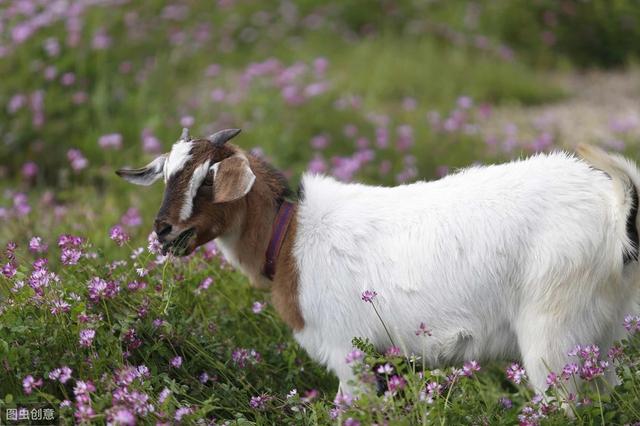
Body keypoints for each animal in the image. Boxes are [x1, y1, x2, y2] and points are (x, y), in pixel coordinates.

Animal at [116, 128, 640, 394]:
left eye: (208, 178)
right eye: (167, 174)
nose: (164, 231)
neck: (290, 241)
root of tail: (614, 211)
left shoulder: (351, 356)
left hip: (553, 333)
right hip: (597, 338)